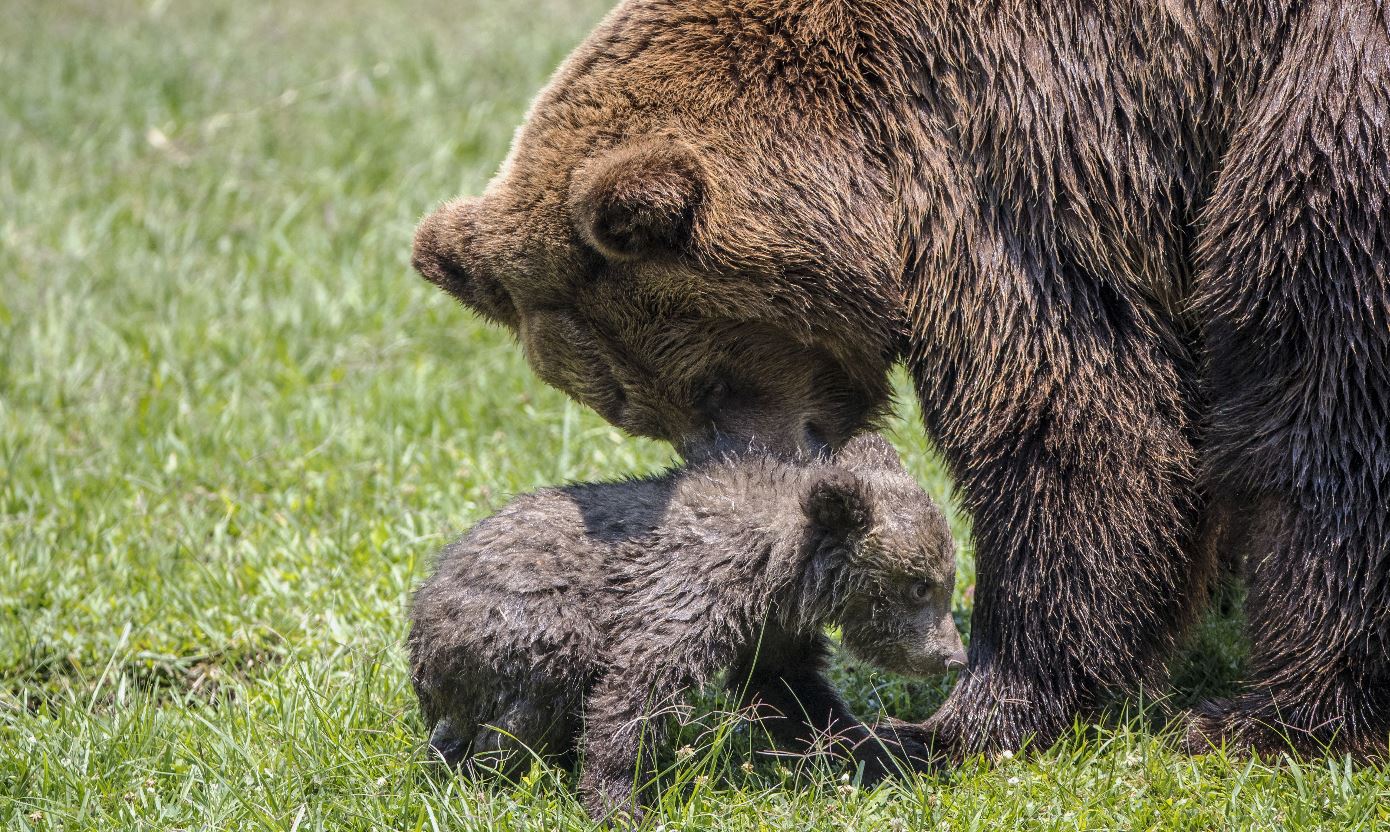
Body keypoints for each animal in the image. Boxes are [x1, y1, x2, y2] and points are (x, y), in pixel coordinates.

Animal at [411, 0, 1390, 761]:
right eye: (634, 410)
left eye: (713, 380)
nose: (737, 495)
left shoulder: (1023, 147)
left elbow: (1077, 412)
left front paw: (962, 718)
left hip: (1331, 108)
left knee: (1317, 375)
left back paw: (1267, 719)